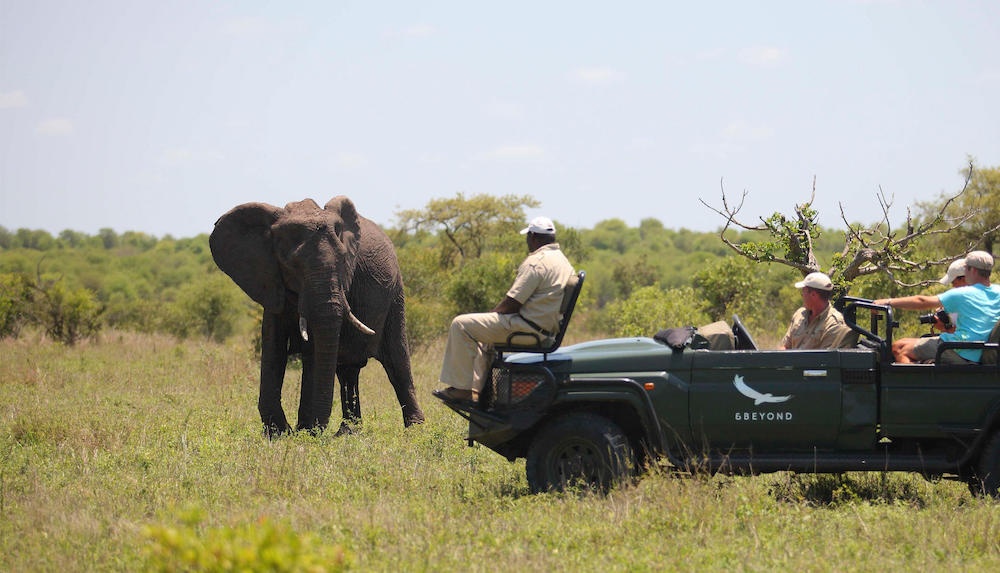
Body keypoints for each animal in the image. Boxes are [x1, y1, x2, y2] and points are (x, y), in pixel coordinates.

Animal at [211, 196, 426, 434]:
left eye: (343, 260)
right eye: (292, 265)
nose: (316, 428)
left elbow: (313, 350)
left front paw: (305, 432)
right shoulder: (271, 281)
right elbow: (273, 345)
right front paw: (278, 433)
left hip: (395, 294)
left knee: (397, 361)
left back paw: (415, 430)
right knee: (348, 371)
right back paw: (348, 432)